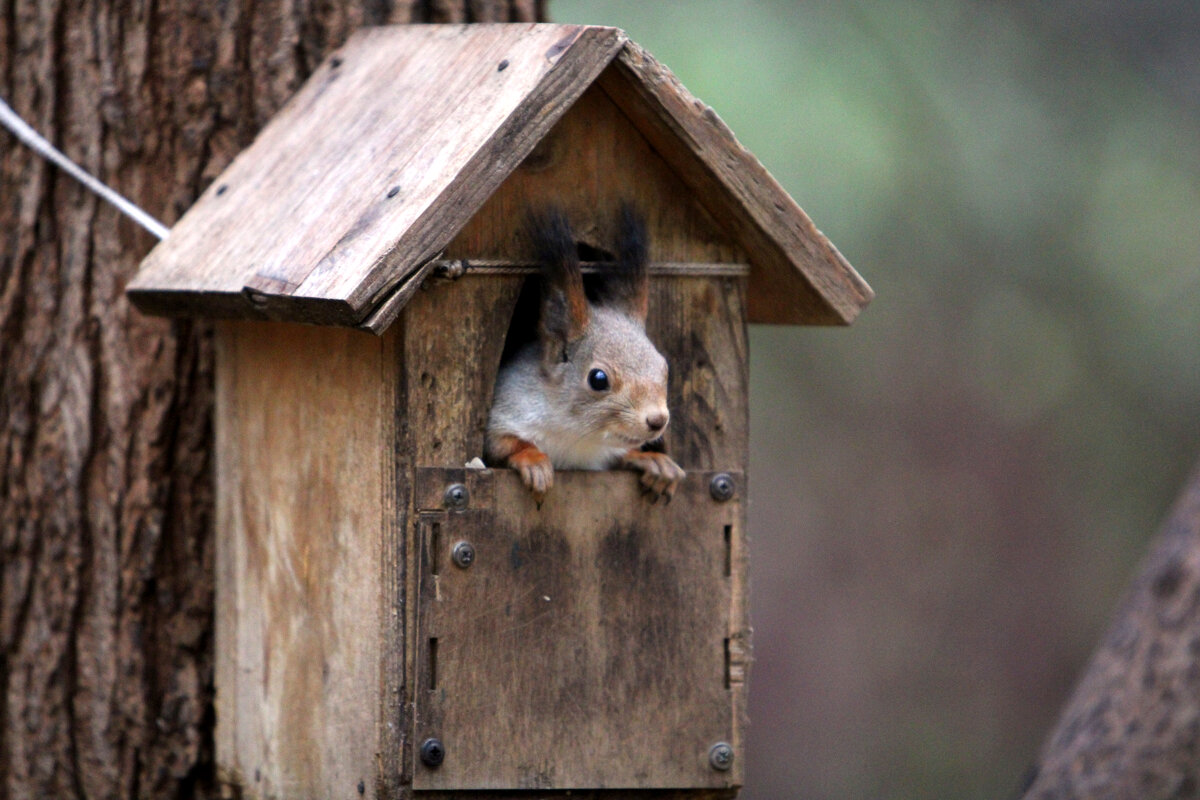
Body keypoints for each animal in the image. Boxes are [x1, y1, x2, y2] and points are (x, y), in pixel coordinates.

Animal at [480, 203, 686, 503]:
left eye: (664, 367)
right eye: (598, 379)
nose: (658, 420)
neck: (577, 435)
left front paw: (655, 463)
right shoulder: (505, 410)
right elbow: (501, 444)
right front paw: (534, 461)